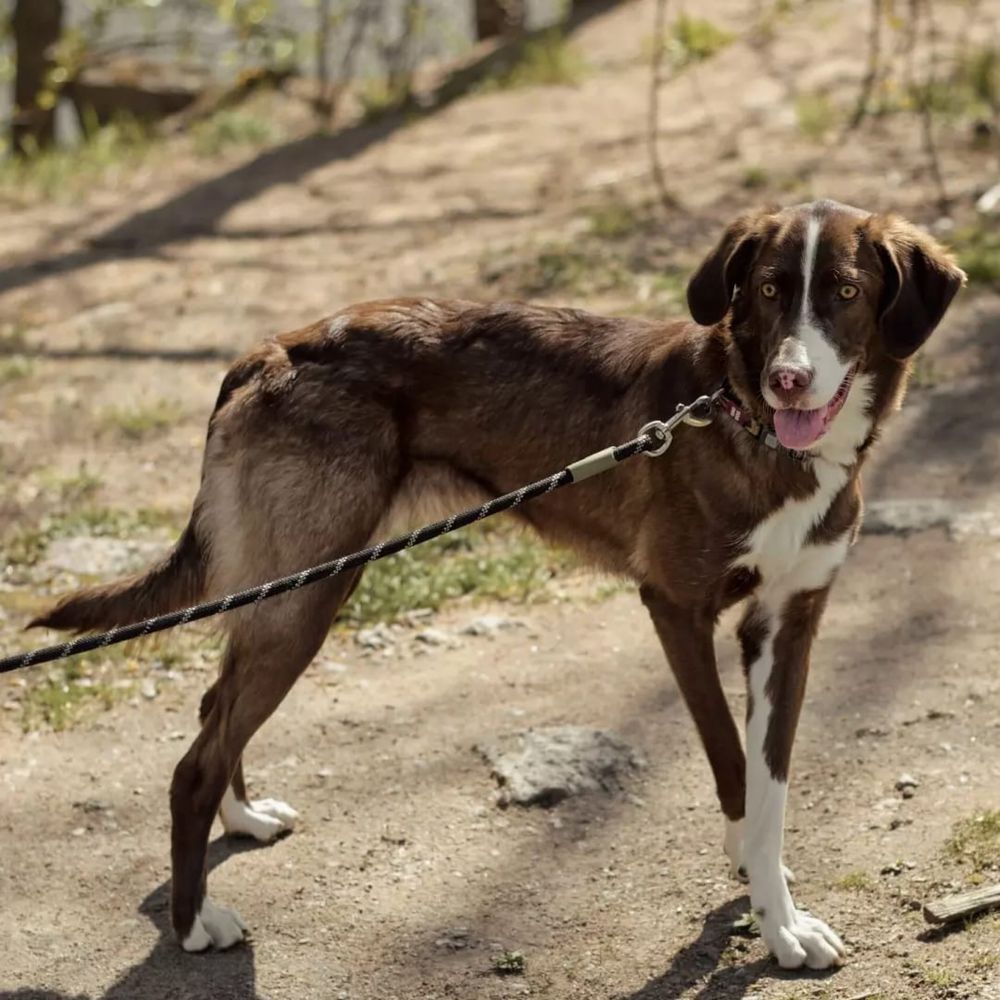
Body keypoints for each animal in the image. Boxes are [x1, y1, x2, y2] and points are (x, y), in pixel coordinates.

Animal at [31, 199, 964, 972]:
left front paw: (774, 901)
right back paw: (195, 923)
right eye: (769, 290)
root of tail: (266, 352)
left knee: (212, 710)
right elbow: (735, 767)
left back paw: (243, 818)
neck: (750, 426)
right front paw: (774, 923)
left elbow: (770, 788)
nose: (787, 379)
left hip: (291, 590)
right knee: (194, 760)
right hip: (305, 599)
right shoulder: (676, 610)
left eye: (843, 292)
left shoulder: (787, 625)